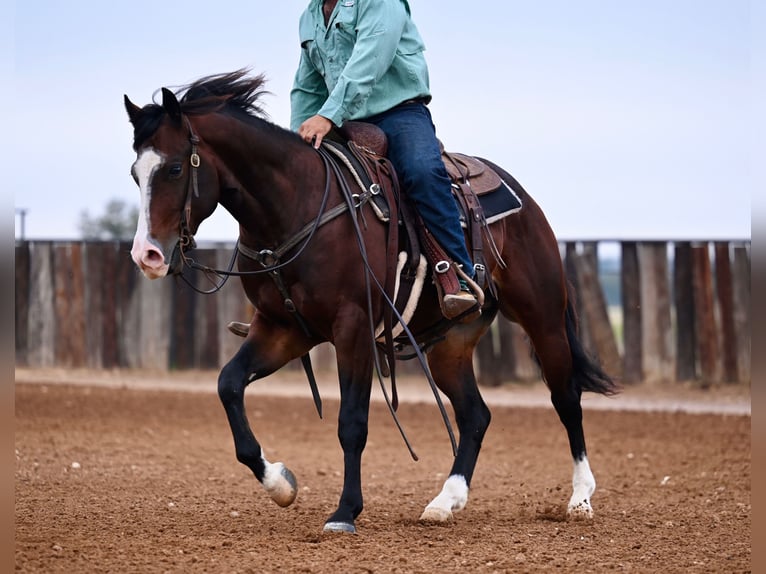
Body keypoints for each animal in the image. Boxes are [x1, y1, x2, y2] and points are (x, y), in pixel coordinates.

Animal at [124, 70, 618, 534]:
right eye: (135, 173)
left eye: (174, 169)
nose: (146, 255)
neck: (295, 206)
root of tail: (524, 198)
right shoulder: (283, 329)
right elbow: (228, 385)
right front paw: (281, 483)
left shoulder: (353, 328)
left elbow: (352, 423)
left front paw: (345, 512)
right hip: (449, 345)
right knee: (475, 415)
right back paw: (446, 501)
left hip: (544, 318)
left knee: (566, 397)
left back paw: (580, 499)